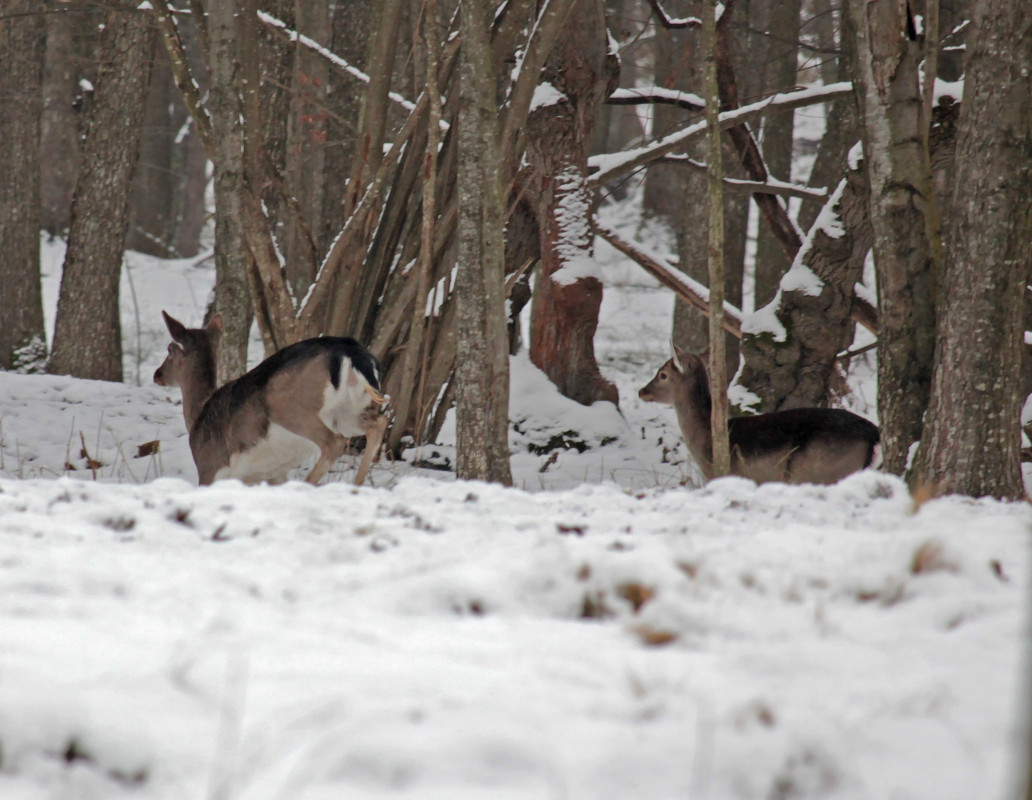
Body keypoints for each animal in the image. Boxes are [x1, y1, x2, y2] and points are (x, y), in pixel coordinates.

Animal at [154, 311, 388, 487]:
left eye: (170, 349)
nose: (158, 374)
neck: (197, 415)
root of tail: (352, 352)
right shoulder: (271, 474)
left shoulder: (209, 466)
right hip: (349, 411)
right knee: (378, 424)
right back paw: (357, 485)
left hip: (291, 407)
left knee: (334, 442)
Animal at [635, 342, 879, 485]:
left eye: (663, 374)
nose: (642, 391)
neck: (706, 438)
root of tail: (873, 431)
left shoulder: (725, 473)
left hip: (818, 469)